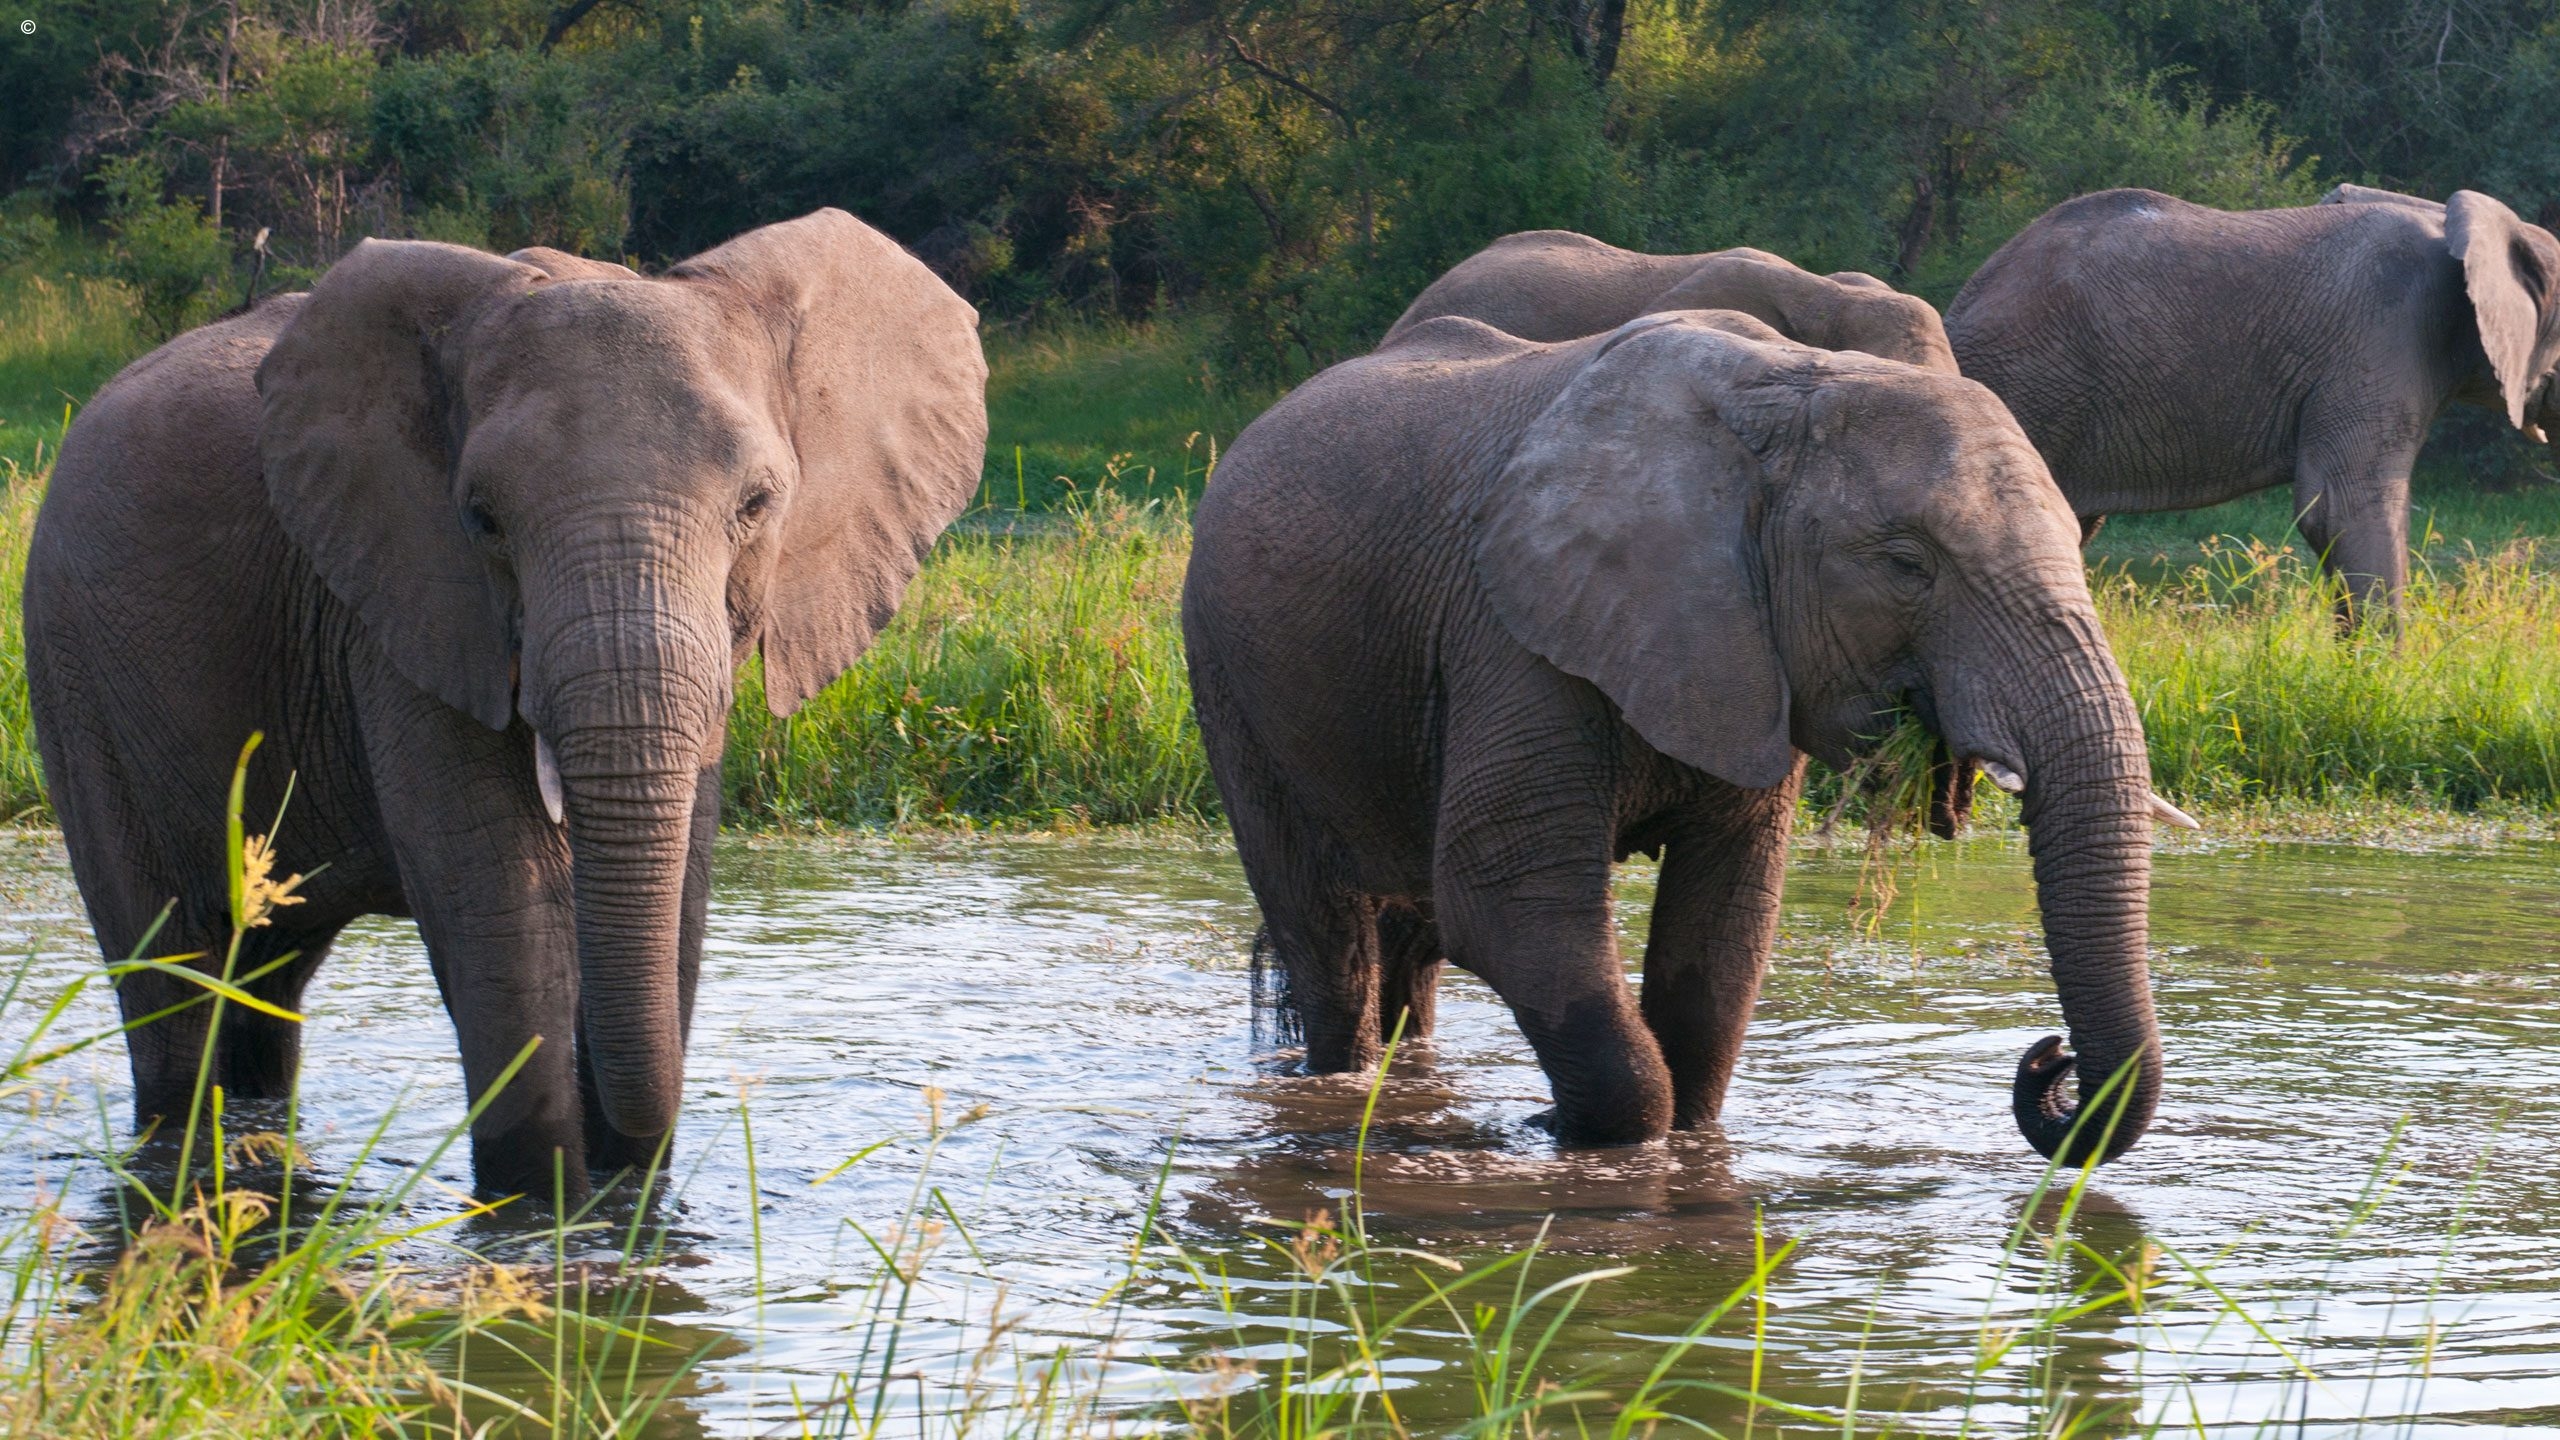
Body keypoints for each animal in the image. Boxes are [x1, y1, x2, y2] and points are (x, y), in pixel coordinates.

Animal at [25, 210, 987, 1200]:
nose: (623, 1152)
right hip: (73, 671)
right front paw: (545, 1204)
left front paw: (625, 1203)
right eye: (482, 518)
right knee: (170, 977)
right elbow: (499, 896)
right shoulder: (402, 603)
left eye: (758, 506)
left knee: (263, 981)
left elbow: (680, 883)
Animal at [1183, 307, 2183, 1164]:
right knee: (1327, 938)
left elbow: (1725, 923)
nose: (2049, 1059)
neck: (1783, 395)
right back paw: (1343, 1087)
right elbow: (1510, 901)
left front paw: (1675, 1138)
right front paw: (1563, 1134)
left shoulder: (1746, 643)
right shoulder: (1510, 633)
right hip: (1224, 674)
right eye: (1908, 565)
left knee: (1407, 941)